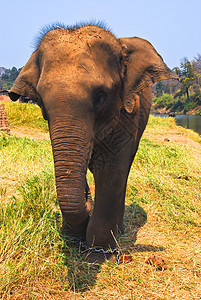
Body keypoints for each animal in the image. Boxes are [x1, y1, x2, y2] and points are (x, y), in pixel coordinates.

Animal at [8, 22, 177, 264]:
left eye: (100, 96)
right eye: (40, 101)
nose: (88, 197)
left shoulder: (128, 114)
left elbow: (110, 170)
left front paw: (98, 252)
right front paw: (73, 240)